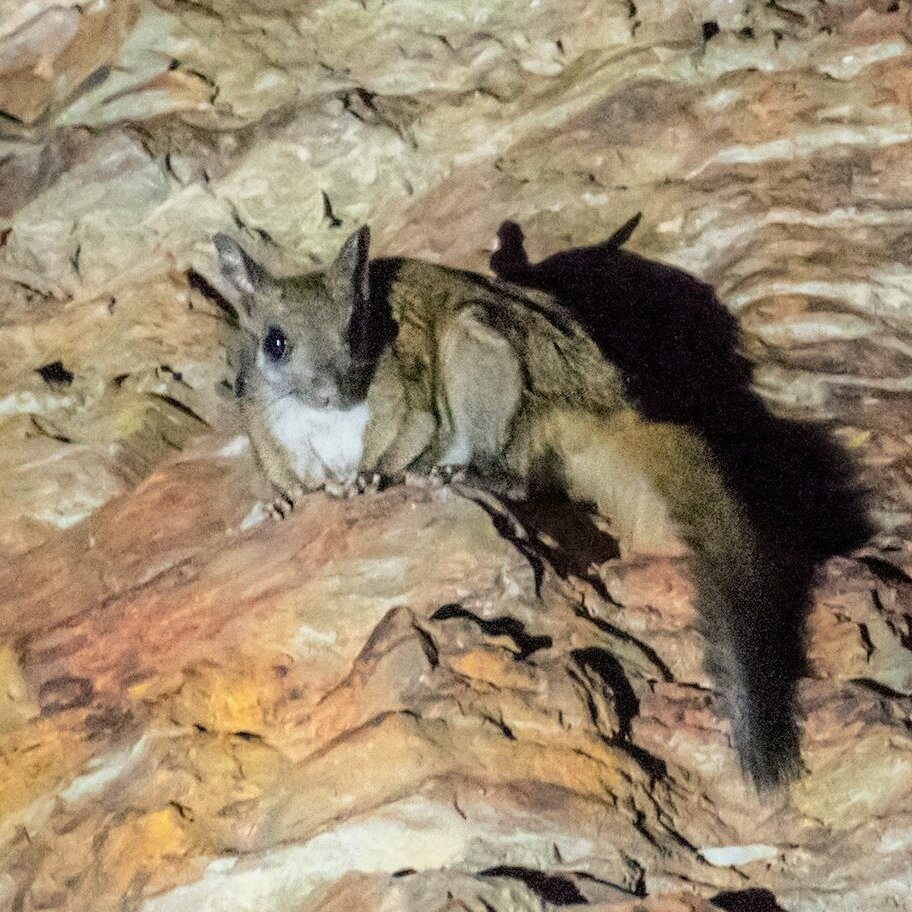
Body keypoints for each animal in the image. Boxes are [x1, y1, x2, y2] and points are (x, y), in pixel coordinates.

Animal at [212, 224, 862, 790]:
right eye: (274, 343)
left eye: (354, 331)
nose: (330, 392)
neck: (324, 421)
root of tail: (595, 402)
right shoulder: (272, 439)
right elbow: (289, 480)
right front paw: (282, 505)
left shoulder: (408, 403)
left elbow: (402, 438)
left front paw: (371, 479)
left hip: (478, 347)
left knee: (513, 475)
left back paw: (455, 473)